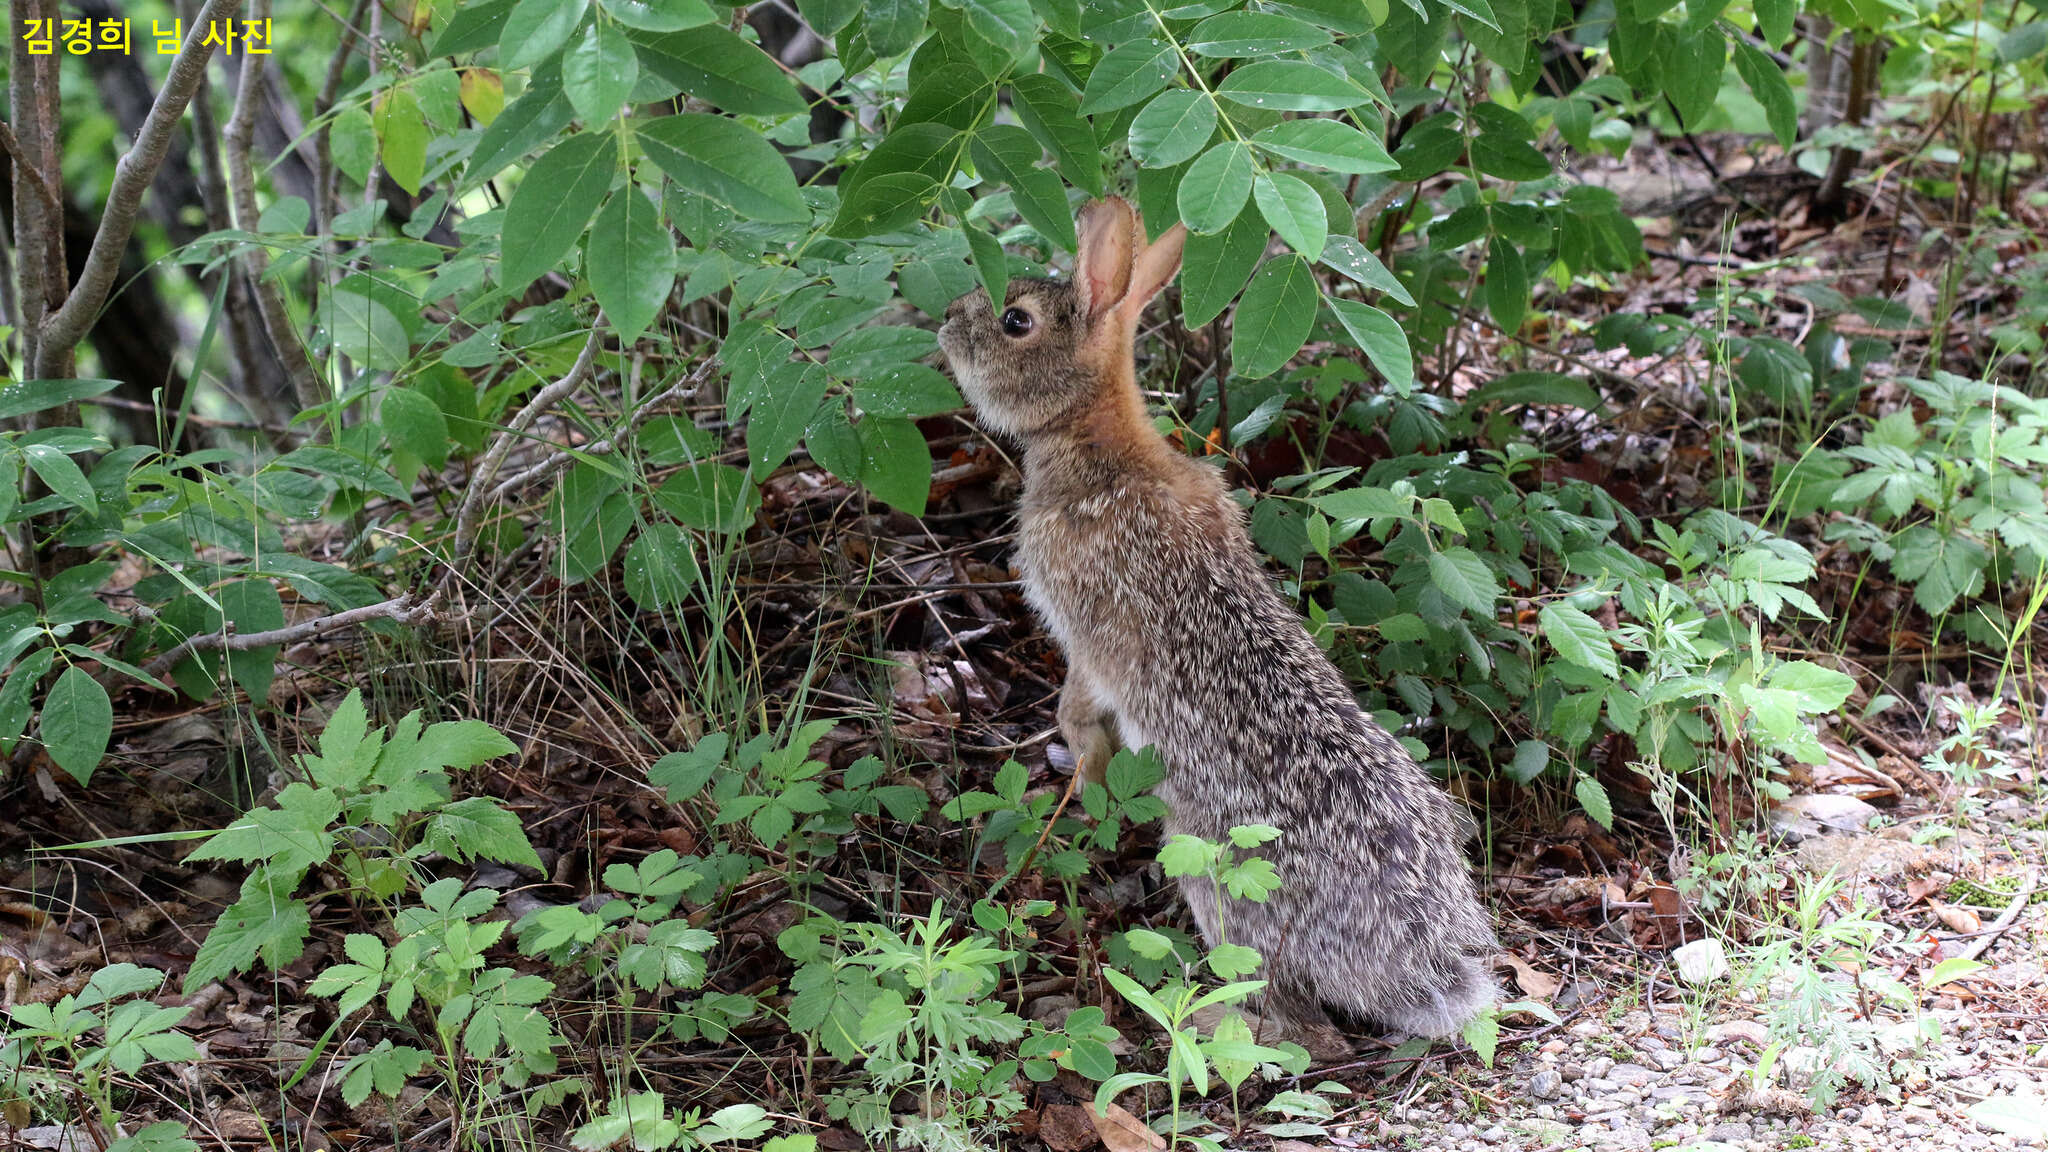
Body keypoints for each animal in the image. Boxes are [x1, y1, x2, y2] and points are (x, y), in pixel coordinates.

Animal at [937, 194, 1499, 1049]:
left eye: (1014, 320)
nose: (944, 322)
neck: (1092, 437)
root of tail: (1407, 951)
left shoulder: (1083, 633)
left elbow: (1080, 707)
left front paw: (1083, 777)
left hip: (1216, 875)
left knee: (1293, 1017)